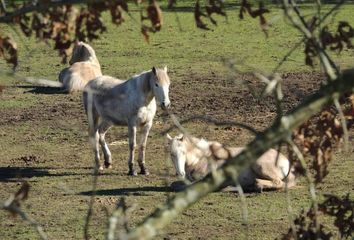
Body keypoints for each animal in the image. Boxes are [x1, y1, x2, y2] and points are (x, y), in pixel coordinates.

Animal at [166, 133, 296, 191]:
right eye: (171, 154)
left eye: (183, 152)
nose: (181, 173)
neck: (202, 158)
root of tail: (286, 161)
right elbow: (175, 184)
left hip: (260, 166)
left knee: (278, 182)